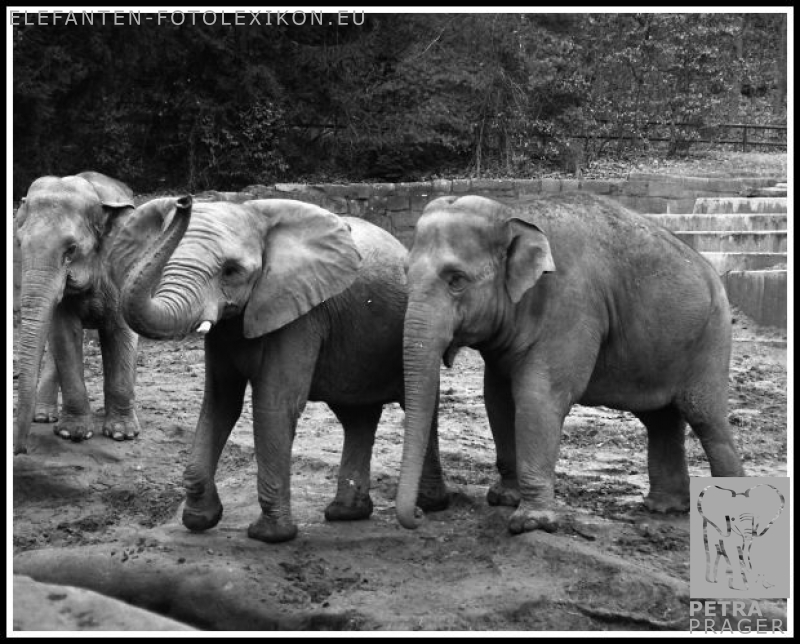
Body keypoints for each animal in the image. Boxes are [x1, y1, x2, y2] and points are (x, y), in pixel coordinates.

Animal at [13, 172, 141, 455]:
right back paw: (44, 416)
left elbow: (121, 332)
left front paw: (122, 434)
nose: (21, 450)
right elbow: (63, 333)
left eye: (71, 249)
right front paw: (72, 433)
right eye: (19, 243)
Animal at [111, 195, 449, 543]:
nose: (184, 201)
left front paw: (269, 535)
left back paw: (429, 505)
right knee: (356, 417)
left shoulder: (300, 312)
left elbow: (274, 405)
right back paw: (346, 513)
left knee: (415, 405)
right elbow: (220, 403)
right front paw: (200, 520)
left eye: (231, 271)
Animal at [395, 193, 745, 535]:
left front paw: (530, 523)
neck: (512, 212)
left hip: (711, 338)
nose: (421, 514)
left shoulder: (571, 306)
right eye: (406, 274)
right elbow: (497, 398)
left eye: (456, 280)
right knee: (661, 419)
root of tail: (710, 270)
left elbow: (539, 396)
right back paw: (664, 507)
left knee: (705, 417)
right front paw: (505, 498)